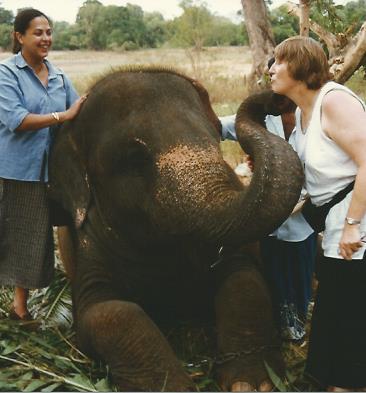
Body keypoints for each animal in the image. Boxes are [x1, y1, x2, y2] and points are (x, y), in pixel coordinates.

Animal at [48, 66, 304, 390]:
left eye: (215, 136)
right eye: (134, 158)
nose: (277, 98)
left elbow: (243, 276)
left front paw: (253, 382)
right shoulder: (88, 243)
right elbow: (107, 311)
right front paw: (173, 386)